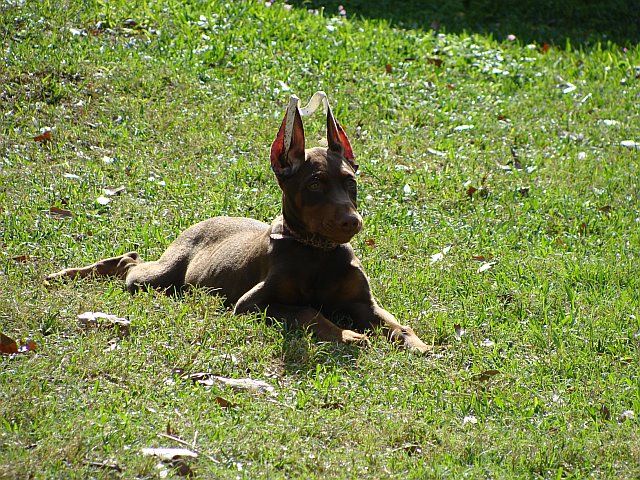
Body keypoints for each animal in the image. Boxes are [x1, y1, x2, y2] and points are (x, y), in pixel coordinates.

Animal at [48, 93, 430, 352]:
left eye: (350, 182)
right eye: (315, 184)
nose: (353, 222)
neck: (318, 250)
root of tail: (200, 224)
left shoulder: (364, 303)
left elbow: (397, 324)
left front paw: (417, 344)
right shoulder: (253, 305)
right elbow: (307, 312)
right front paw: (348, 334)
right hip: (158, 279)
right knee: (130, 264)